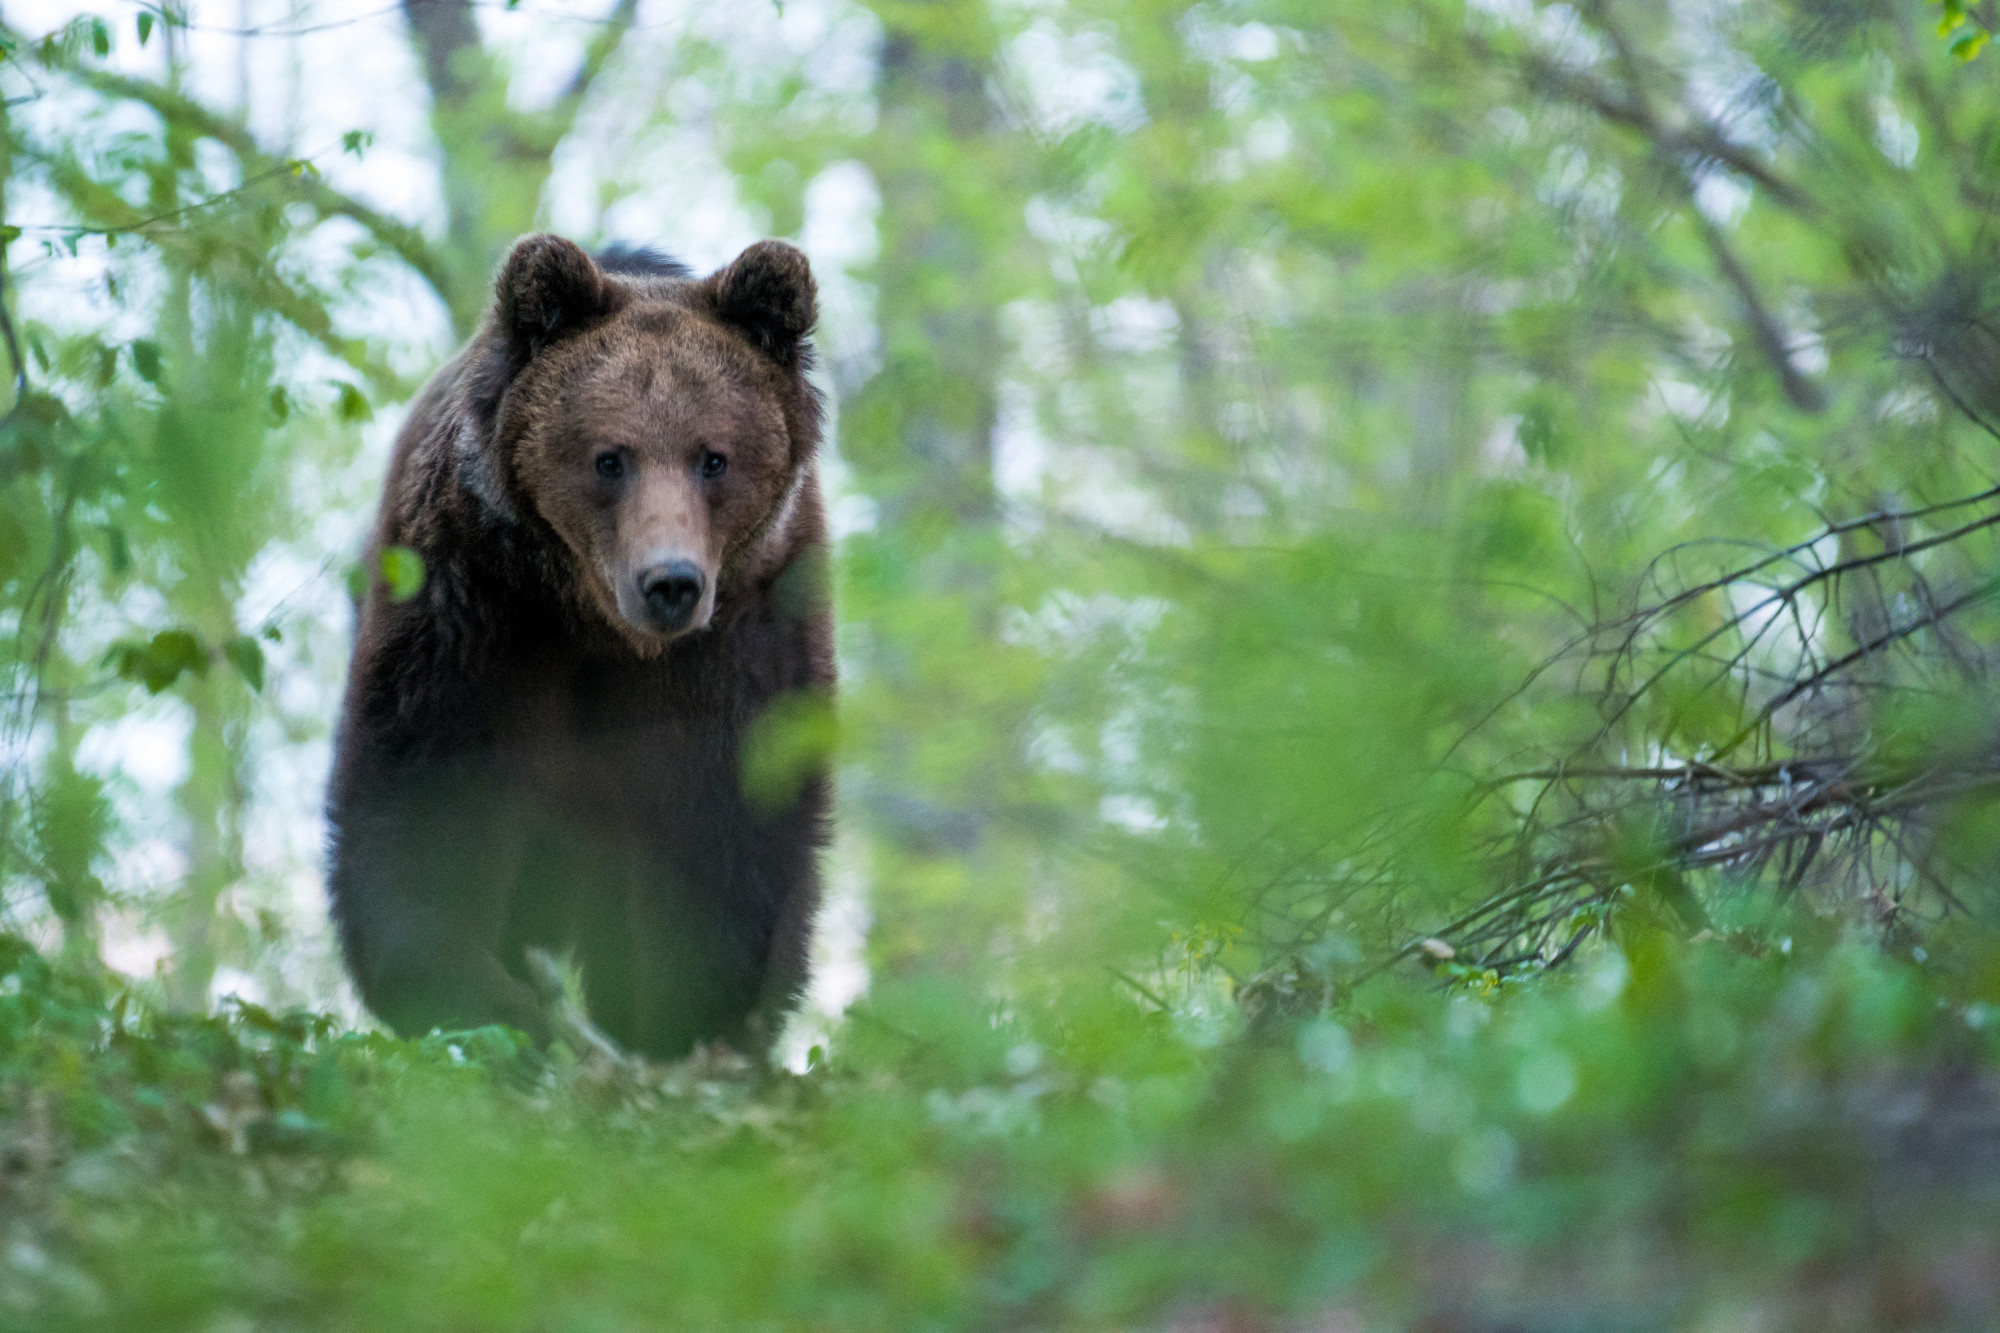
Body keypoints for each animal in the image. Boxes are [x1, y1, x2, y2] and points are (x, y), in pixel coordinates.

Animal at [328, 233, 828, 1056]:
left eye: (713, 457)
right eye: (610, 457)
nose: (670, 582)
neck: (597, 625)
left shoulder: (743, 641)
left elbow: (726, 843)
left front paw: (683, 1033)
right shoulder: (475, 611)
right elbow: (427, 812)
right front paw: (495, 1012)